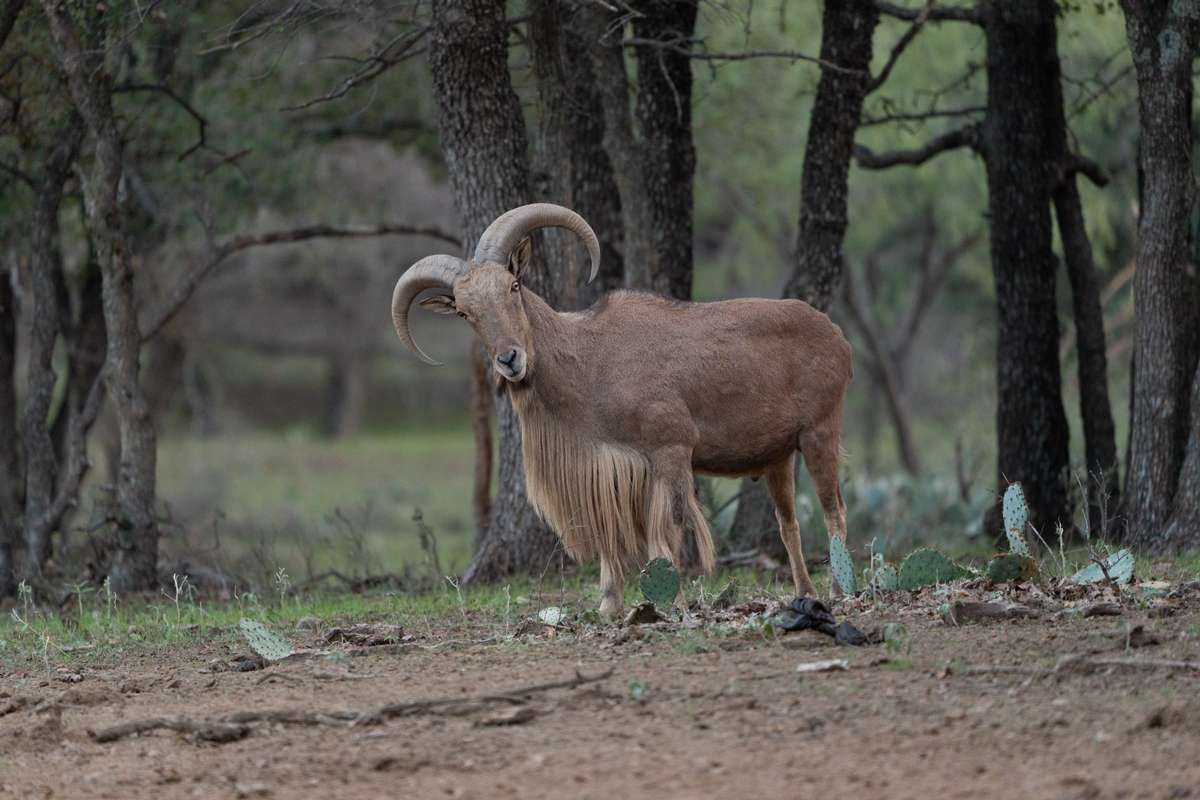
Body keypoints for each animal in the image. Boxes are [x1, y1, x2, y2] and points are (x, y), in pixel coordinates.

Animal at [393, 203, 854, 618]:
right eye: (465, 312)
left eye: (513, 285)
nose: (509, 359)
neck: (589, 360)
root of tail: (836, 335)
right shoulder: (605, 470)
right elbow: (611, 540)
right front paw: (610, 606)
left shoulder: (670, 452)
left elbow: (670, 528)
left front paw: (675, 604)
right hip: (778, 458)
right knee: (789, 524)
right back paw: (805, 594)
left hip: (820, 433)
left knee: (834, 510)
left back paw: (838, 592)